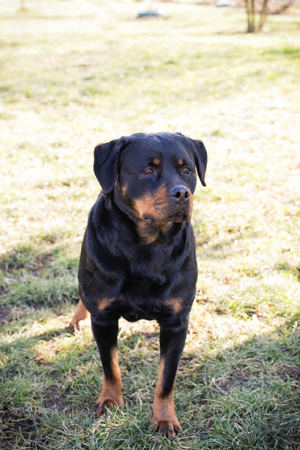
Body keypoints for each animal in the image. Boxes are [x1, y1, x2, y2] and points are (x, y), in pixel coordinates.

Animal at [70, 132, 206, 438]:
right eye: (147, 170)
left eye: (187, 170)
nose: (182, 193)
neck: (146, 247)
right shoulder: (104, 318)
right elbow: (111, 366)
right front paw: (110, 401)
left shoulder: (173, 324)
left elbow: (166, 378)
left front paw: (164, 418)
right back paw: (77, 319)